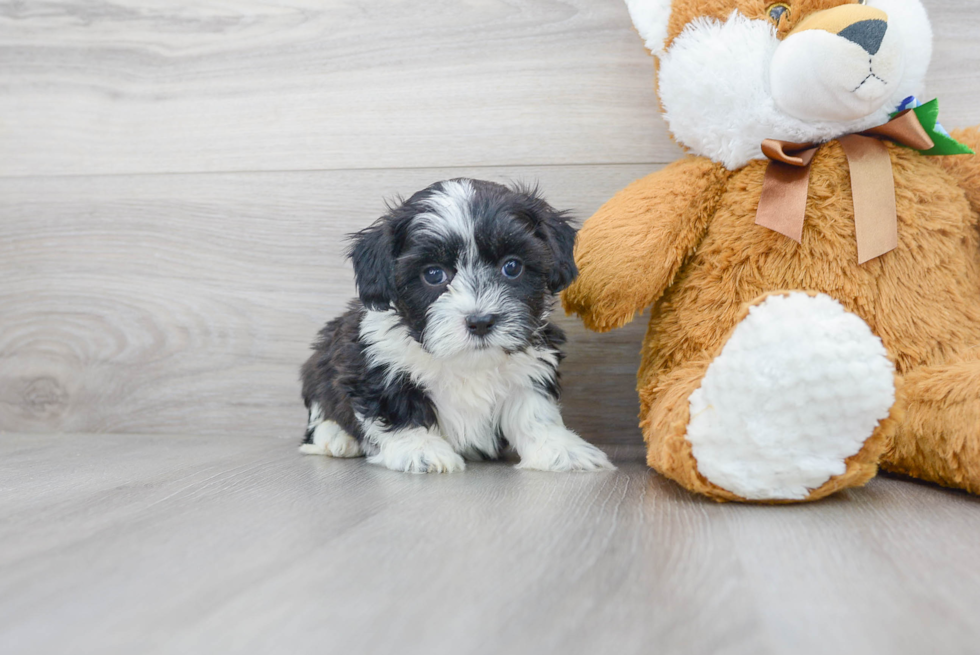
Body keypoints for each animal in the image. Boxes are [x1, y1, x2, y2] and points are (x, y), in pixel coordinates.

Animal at [302, 178, 616, 476]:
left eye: (512, 267)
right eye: (433, 274)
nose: (480, 322)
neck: (466, 362)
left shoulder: (531, 364)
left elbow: (534, 412)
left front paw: (559, 449)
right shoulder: (374, 361)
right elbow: (398, 407)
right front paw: (421, 450)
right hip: (320, 359)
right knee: (321, 406)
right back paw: (336, 438)